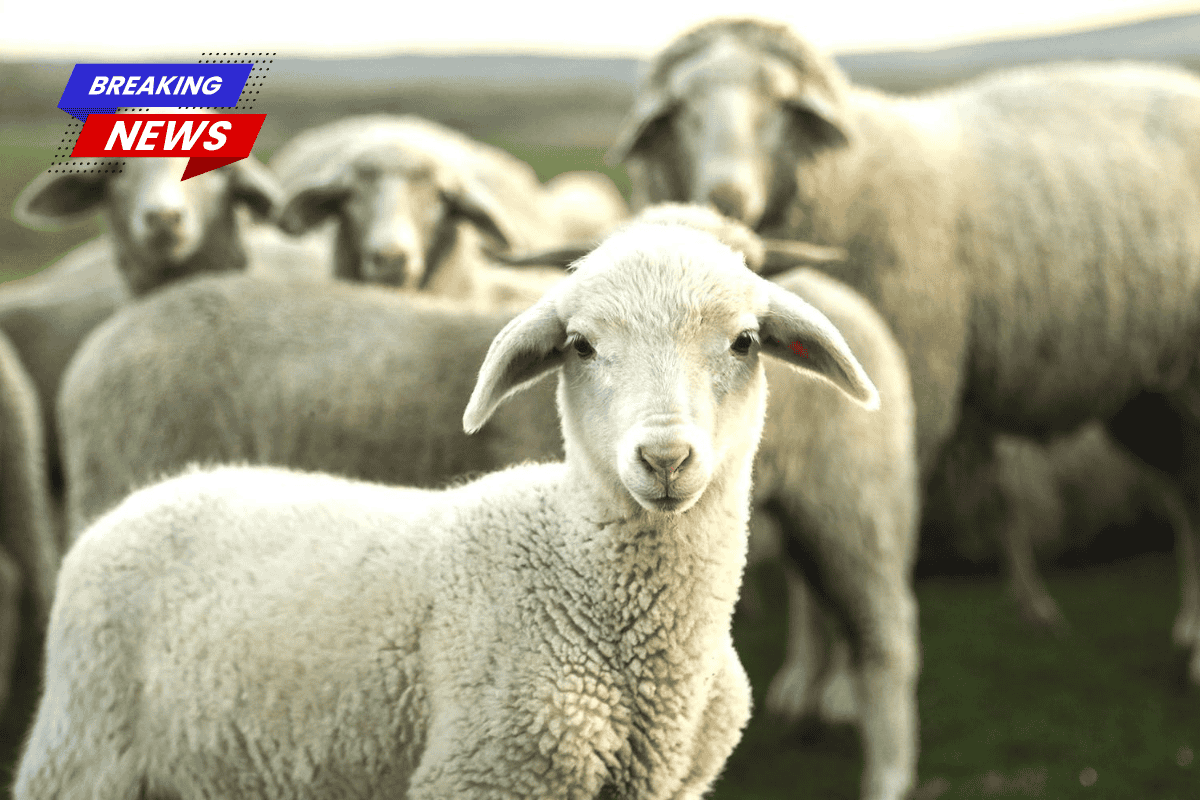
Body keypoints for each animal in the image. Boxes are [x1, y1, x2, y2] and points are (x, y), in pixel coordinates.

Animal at [59, 206, 920, 800]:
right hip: (87, 748)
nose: (665, 458)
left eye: (744, 341)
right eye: (581, 346)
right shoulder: (487, 769)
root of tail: (165, 490)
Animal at [608, 17, 1200, 674]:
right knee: (1183, 493)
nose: (727, 197)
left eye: (782, 104)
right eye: (682, 109)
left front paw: (825, 676)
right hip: (1148, 389)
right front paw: (804, 673)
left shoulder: (892, 402)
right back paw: (1182, 630)